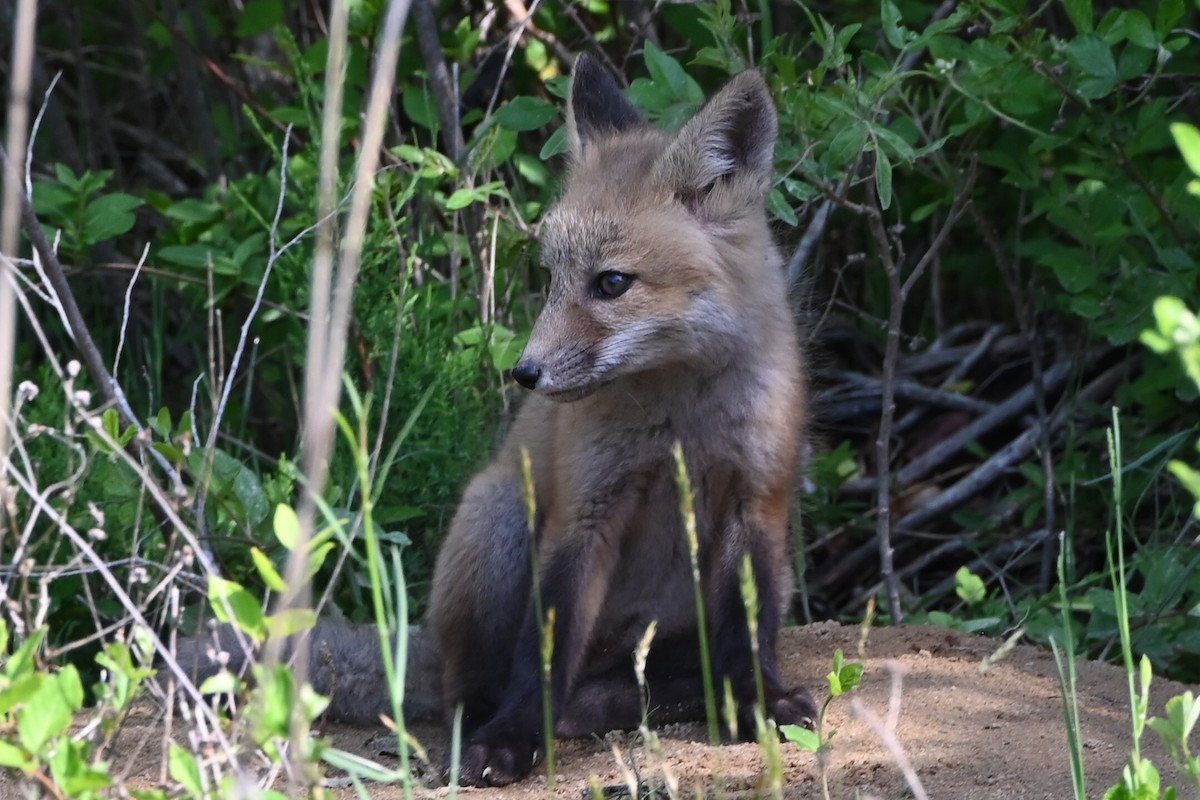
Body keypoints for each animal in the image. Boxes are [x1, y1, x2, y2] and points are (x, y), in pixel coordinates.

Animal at [169, 53, 815, 788]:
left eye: (611, 283)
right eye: (552, 277)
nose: (525, 374)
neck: (681, 418)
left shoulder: (756, 500)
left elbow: (750, 634)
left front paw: (760, 702)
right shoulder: (583, 512)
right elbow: (542, 652)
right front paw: (511, 738)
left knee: (636, 686)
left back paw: (668, 696)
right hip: (499, 510)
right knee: (477, 690)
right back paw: (517, 718)